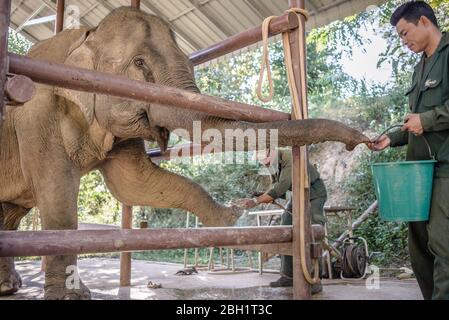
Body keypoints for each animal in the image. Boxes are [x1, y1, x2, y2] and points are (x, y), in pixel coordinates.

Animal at [0, 6, 368, 298]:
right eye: (139, 64)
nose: (362, 141)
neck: (86, 36)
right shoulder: (36, 114)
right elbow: (59, 195)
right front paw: (72, 297)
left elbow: (134, 184)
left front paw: (229, 217)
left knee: (10, 215)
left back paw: (9, 286)